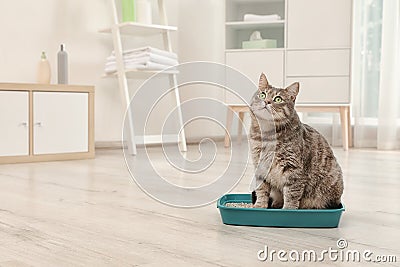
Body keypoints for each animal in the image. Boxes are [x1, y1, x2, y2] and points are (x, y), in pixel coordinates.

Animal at [248, 73, 342, 209]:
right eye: (263, 95)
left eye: (278, 99)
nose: (266, 101)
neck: (267, 135)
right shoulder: (259, 165)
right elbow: (261, 189)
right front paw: (260, 205)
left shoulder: (293, 169)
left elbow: (292, 194)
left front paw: (288, 209)